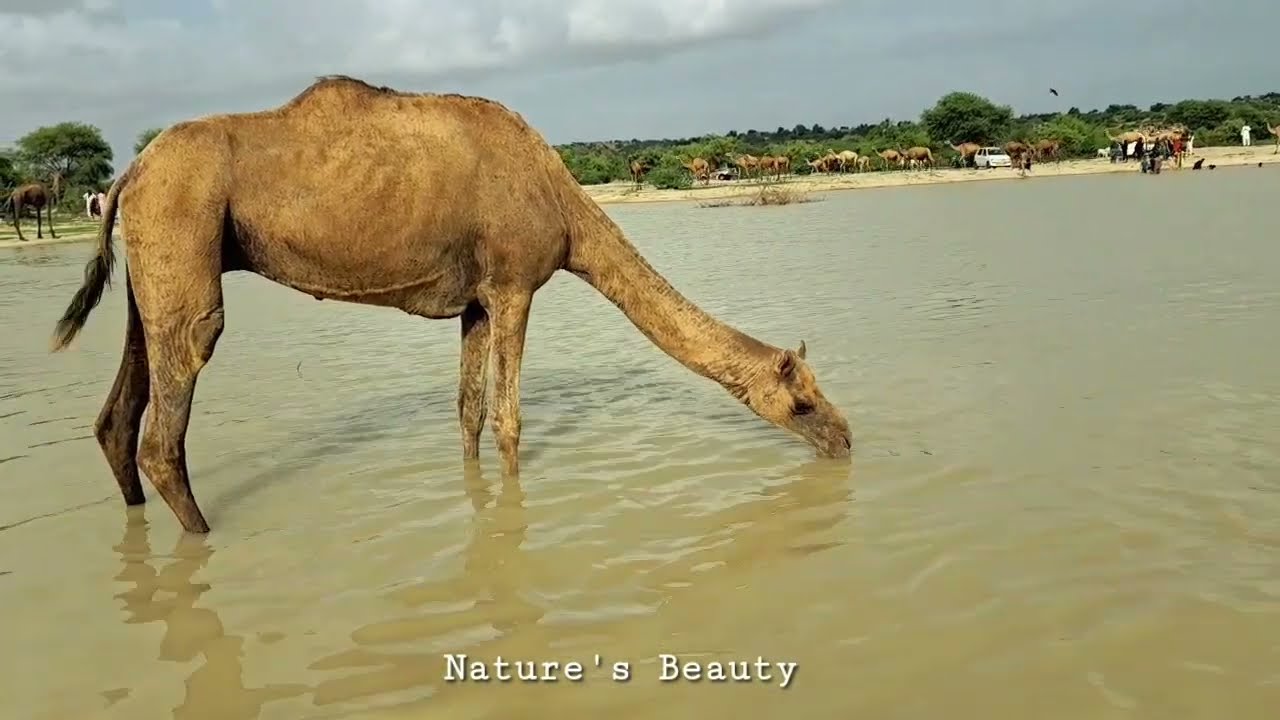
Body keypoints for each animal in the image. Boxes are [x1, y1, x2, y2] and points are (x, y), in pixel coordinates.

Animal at [49, 75, 852, 534]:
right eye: (803, 400)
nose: (846, 439)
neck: (565, 203)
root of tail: (129, 172)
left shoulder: (474, 301)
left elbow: (466, 412)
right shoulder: (515, 284)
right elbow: (507, 420)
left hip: (155, 261)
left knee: (121, 407)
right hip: (183, 224)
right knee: (173, 402)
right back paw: (203, 538)